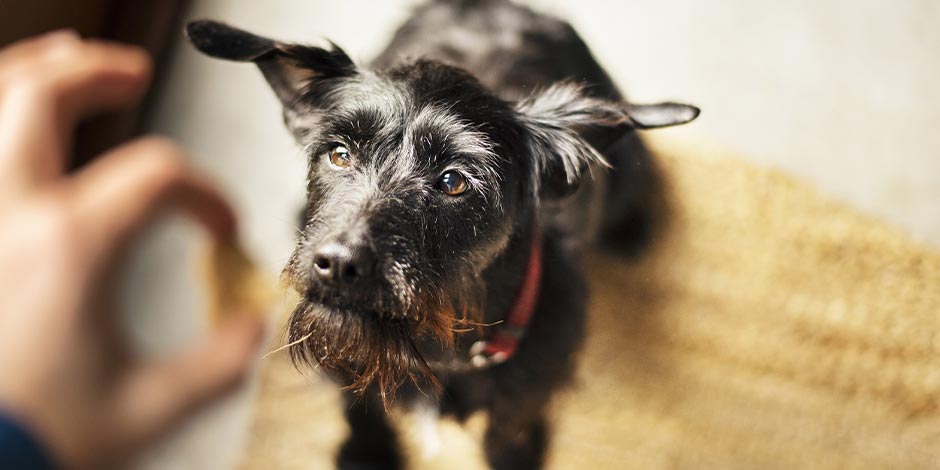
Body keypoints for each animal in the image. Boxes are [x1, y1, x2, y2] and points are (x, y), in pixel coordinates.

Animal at [185, 1, 696, 468]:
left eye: (453, 182)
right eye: (340, 154)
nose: (339, 263)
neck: (436, 347)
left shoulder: (528, 390)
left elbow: (511, 427)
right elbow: (358, 399)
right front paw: (366, 452)